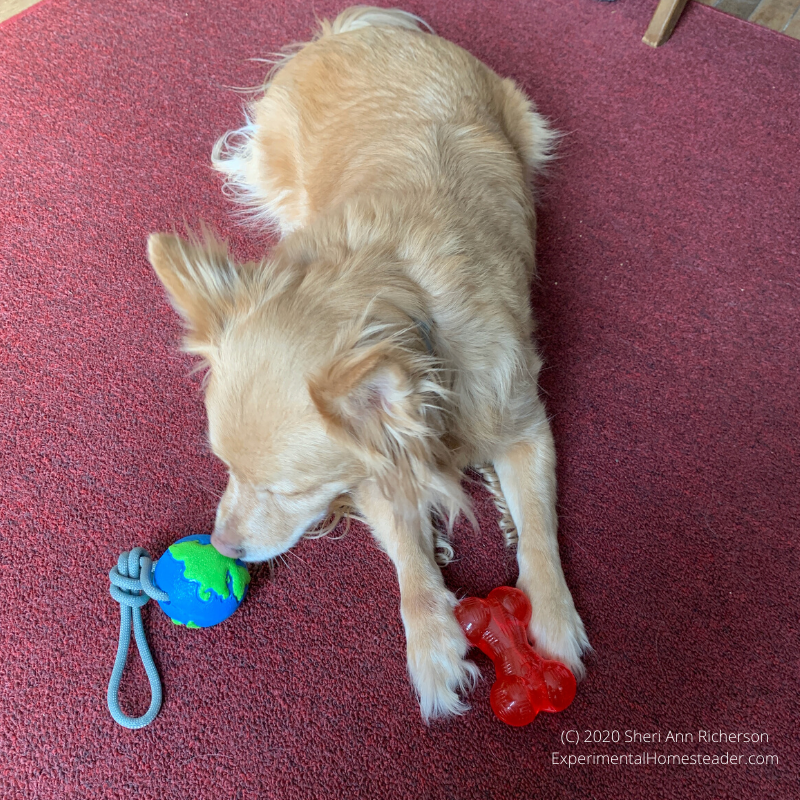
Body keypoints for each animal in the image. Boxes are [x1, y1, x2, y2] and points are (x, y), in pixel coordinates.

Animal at [147, 4, 592, 720]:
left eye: (287, 491)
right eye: (224, 468)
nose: (223, 549)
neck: (390, 298)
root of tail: (359, 31)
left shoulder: (525, 427)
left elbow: (540, 529)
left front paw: (553, 621)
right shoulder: (372, 468)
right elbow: (410, 547)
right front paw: (433, 640)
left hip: (530, 128)